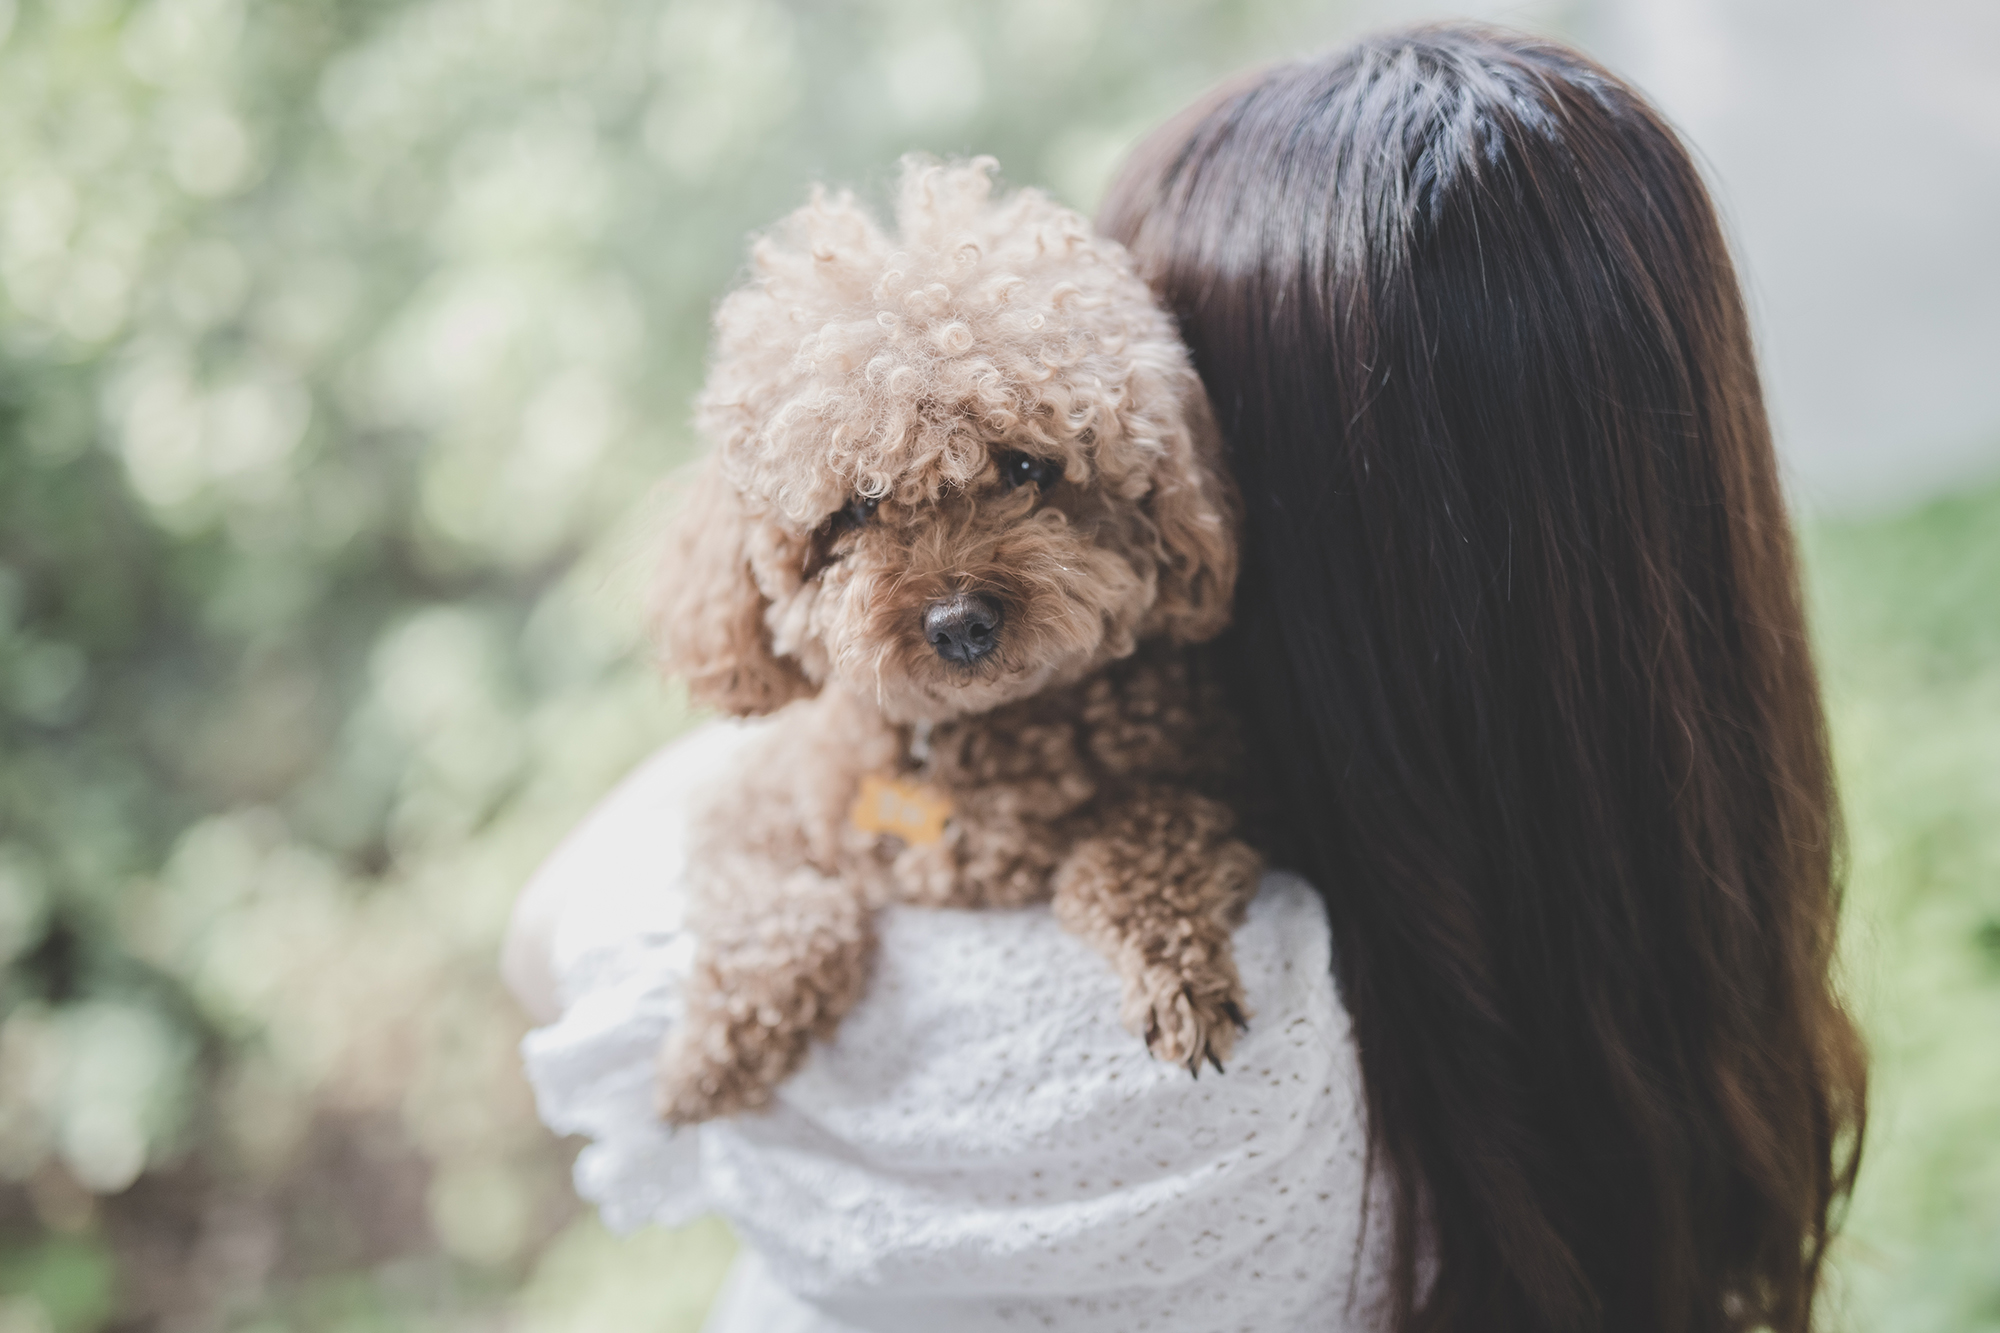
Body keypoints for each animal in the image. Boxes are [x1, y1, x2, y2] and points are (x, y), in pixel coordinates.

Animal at [652, 153, 1264, 1120]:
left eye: (1026, 466)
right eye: (857, 506)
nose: (960, 621)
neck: (967, 747)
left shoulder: (1211, 776)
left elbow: (1139, 843)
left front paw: (1179, 977)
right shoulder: (747, 811)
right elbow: (783, 910)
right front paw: (715, 1050)